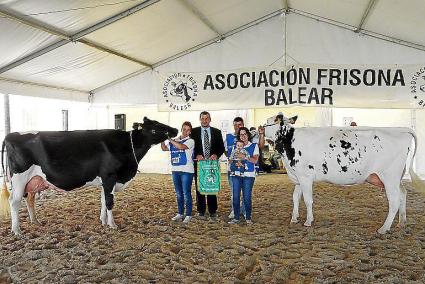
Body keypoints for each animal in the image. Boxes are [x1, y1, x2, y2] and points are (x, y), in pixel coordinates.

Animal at [0, 116, 176, 234]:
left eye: (159, 123)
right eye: (154, 128)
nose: (174, 130)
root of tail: (10, 135)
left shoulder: (106, 180)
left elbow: (103, 200)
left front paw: (103, 221)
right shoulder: (110, 176)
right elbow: (110, 202)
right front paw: (113, 225)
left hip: (33, 180)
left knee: (29, 199)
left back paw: (35, 221)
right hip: (19, 178)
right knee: (14, 201)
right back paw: (17, 230)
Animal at [268, 114, 420, 234]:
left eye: (271, 121)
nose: (262, 127)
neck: (290, 142)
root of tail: (400, 130)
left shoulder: (305, 177)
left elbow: (307, 200)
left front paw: (308, 221)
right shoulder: (298, 176)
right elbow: (295, 198)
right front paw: (294, 218)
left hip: (389, 177)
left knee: (394, 201)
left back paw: (384, 228)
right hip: (395, 179)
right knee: (403, 194)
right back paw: (401, 223)